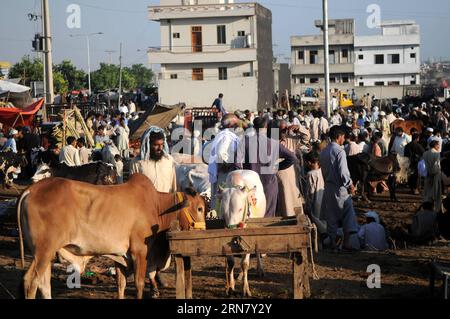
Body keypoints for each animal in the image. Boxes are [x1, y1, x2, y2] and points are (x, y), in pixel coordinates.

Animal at [16, 174, 207, 298]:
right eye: (199, 209)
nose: (202, 233)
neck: (157, 206)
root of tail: (31, 189)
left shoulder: (120, 256)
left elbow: (120, 285)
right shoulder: (140, 251)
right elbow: (139, 284)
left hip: (41, 253)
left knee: (41, 283)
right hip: (44, 251)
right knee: (32, 282)